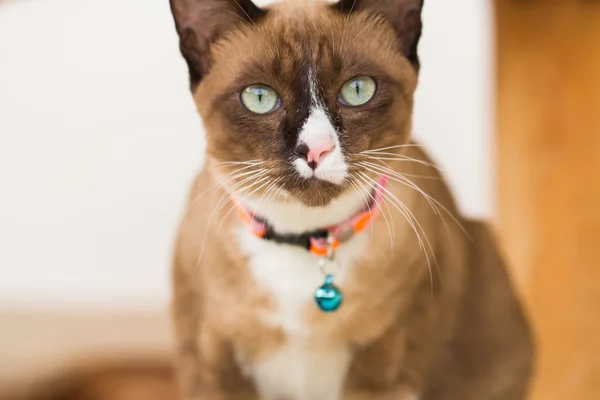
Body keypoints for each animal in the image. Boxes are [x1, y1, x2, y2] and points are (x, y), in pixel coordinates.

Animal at [168, 0, 536, 398]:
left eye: (358, 90)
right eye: (259, 98)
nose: (316, 149)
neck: (309, 243)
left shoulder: (381, 375)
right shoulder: (211, 373)